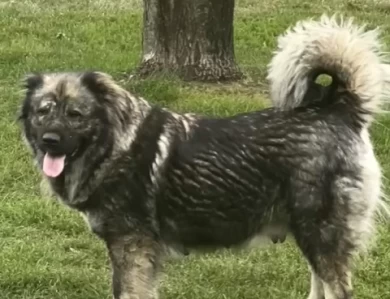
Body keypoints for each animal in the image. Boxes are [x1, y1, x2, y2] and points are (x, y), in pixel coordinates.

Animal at [17, 14, 390, 299]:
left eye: (75, 115)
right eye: (43, 112)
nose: (50, 141)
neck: (114, 145)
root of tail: (340, 108)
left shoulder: (132, 248)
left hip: (321, 236)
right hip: (313, 237)